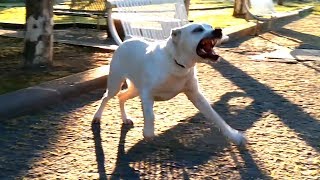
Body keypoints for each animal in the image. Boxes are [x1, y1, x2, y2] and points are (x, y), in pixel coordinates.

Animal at [94, 22, 246, 146]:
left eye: (210, 26)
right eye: (197, 29)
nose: (218, 30)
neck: (177, 63)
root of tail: (124, 42)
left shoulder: (196, 96)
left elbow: (216, 117)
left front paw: (234, 136)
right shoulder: (147, 94)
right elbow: (150, 116)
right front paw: (148, 133)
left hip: (135, 90)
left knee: (121, 97)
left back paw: (125, 119)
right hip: (115, 83)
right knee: (106, 97)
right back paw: (97, 117)